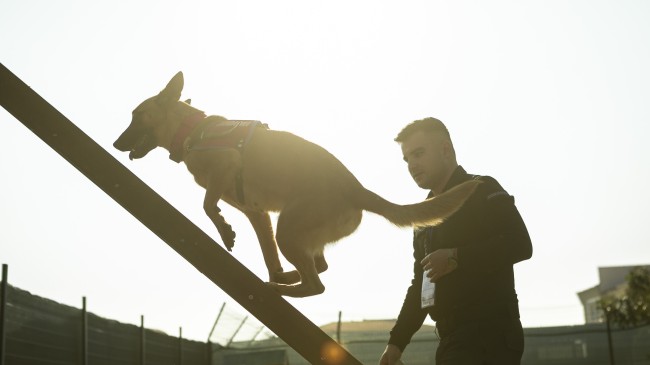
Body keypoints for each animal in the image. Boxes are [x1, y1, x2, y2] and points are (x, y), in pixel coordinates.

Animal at [114, 72, 478, 298]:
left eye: (135, 115)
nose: (116, 143)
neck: (192, 130)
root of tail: (356, 188)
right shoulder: (257, 214)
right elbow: (268, 256)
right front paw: (274, 270)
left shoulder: (226, 167)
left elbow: (206, 205)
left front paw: (225, 231)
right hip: (290, 230)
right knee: (317, 266)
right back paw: (287, 280)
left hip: (288, 229)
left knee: (316, 283)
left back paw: (285, 288)